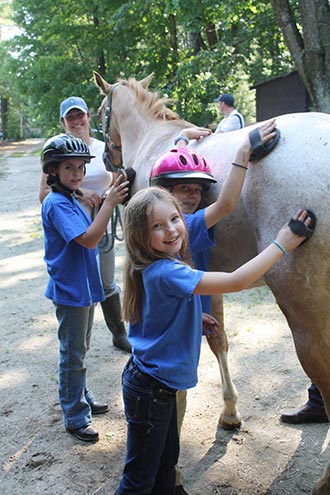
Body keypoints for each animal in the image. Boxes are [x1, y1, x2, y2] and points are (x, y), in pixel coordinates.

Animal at [94, 70, 330, 495]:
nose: (110, 162)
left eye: (102, 112)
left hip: (307, 315)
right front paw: (231, 413)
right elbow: (217, 339)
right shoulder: (207, 276)